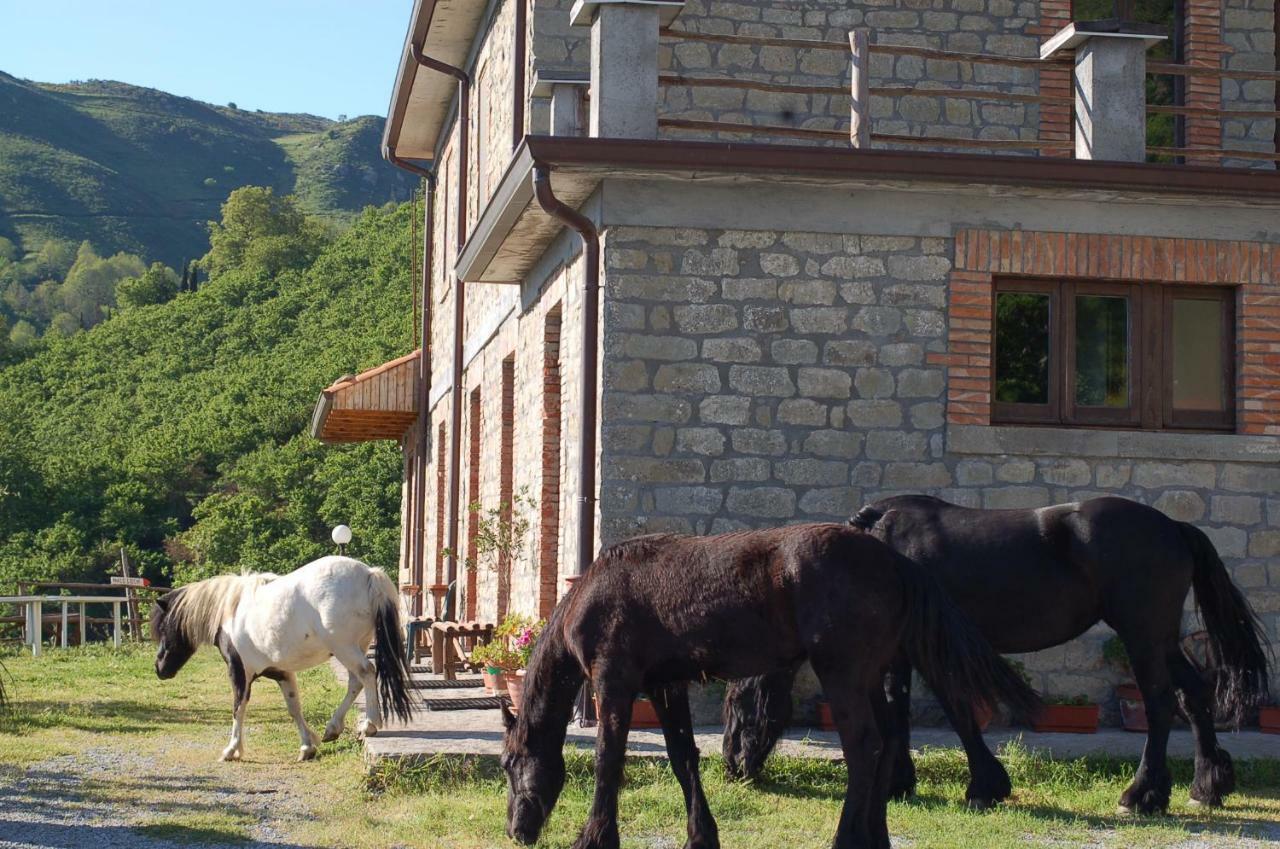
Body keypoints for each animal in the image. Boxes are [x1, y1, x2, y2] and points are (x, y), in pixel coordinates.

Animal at [150, 558, 412, 763]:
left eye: (163, 627)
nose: (159, 668)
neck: (230, 612)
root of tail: (368, 573)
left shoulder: (239, 672)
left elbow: (238, 708)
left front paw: (232, 750)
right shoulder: (281, 673)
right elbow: (294, 708)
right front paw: (307, 746)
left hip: (344, 648)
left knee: (367, 673)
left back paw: (370, 724)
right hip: (355, 647)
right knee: (356, 682)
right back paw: (333, 729)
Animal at [496, 525, 1039, 849]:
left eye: (508, 764)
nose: (517, 830)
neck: (594, 593)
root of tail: (895, 561)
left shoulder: (615, 683)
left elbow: (608, 760)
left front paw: (595, 837)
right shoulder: (667, 686)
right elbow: (683, 758)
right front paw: (701, 836)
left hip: (843, 674)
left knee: (864, 747)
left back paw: (845, 839)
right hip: (870, 677)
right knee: (887, 744)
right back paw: (875, 838)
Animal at [721, 499, 1269, 819]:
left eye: (740, 701)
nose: (732, 766)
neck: (884, 551)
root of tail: (1173, 526)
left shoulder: (931, 648)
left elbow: (957, 711)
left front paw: (985, 786)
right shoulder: (900, 654)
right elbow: (897, 711)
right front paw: (898, 782)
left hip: (1141, 635)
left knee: (1158, 705)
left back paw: (1143, 796)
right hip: (1159, 639)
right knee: (1193, 695)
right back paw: (1207, 785)